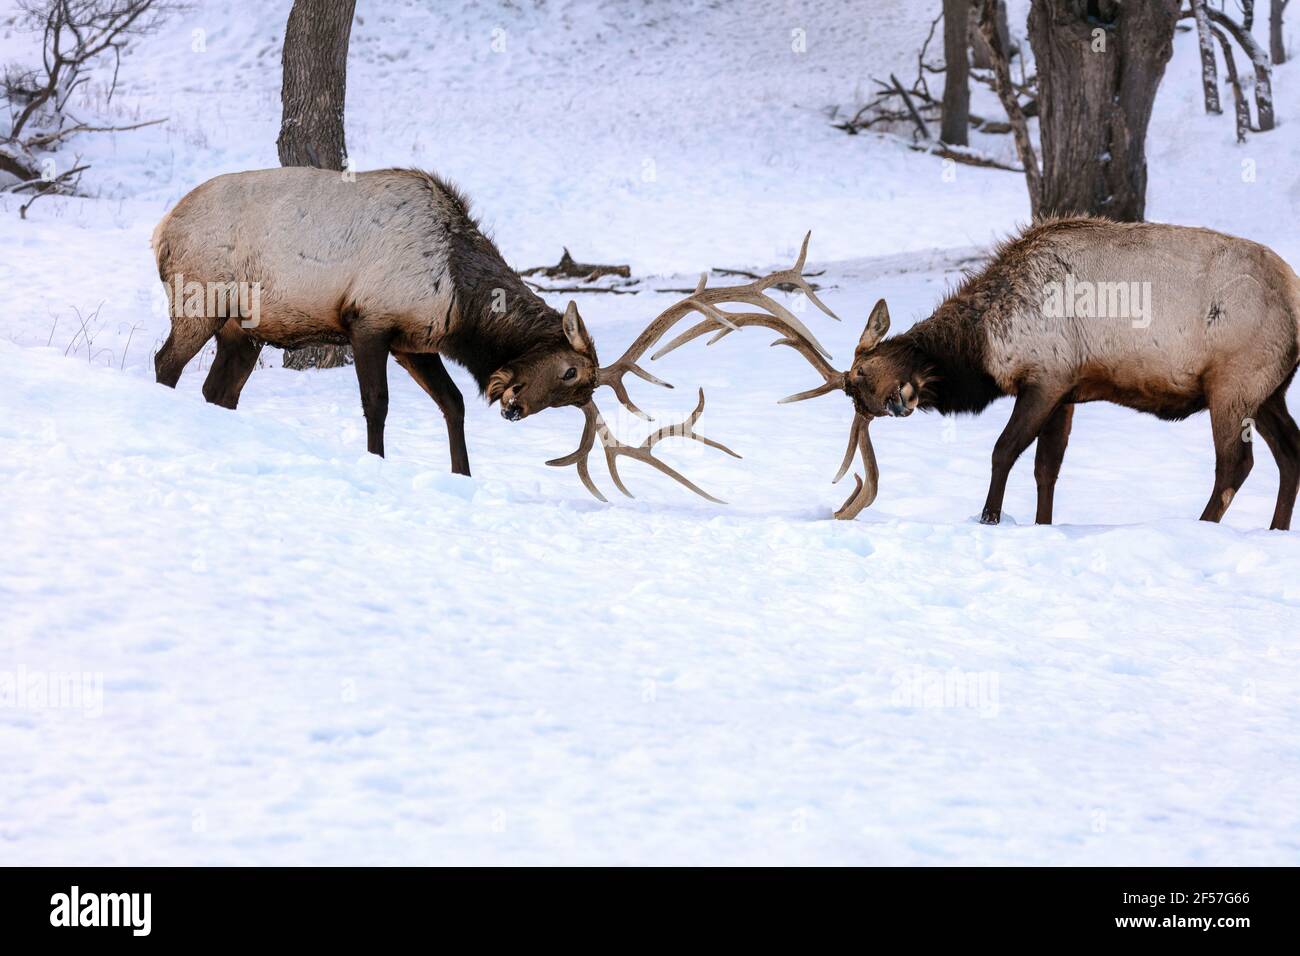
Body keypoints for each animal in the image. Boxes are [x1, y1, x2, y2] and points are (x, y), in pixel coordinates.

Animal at [655, 217, 1300, 530]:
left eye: (863, 370)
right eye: (860, 399)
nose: (896, 403)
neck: (981, 345)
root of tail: (1294, 299)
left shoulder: (1046, 376)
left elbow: (1003, 452)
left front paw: (987, 518)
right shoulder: (1070, 390)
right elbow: (1046, 470)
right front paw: (1040, 526)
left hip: (1233, 382)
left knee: (1235, 464)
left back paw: (1204, 527)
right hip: (1270, 389)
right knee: (1290, 454)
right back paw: (1275, 531)